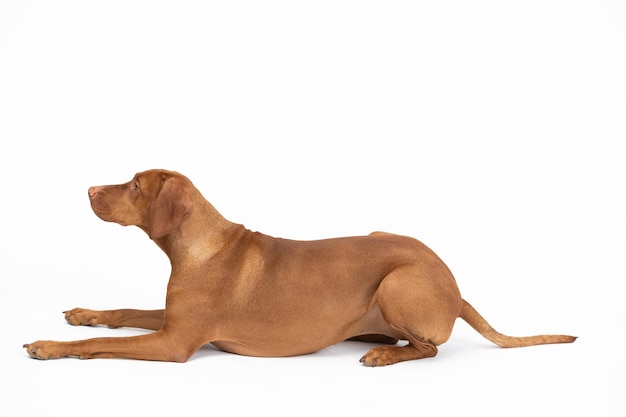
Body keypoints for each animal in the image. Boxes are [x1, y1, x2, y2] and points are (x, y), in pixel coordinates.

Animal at [24, 168, 576, 364]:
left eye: (136, 185)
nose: (88, 189)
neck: (199, 245)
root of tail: (455, 287)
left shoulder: (176, 342)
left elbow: (98, 346)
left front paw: (51, 346)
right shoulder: (173, 320)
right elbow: (122, 312)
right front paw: (83, 314)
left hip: (399, 282)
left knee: (428, 348)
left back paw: (384, 355)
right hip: (379, 239)